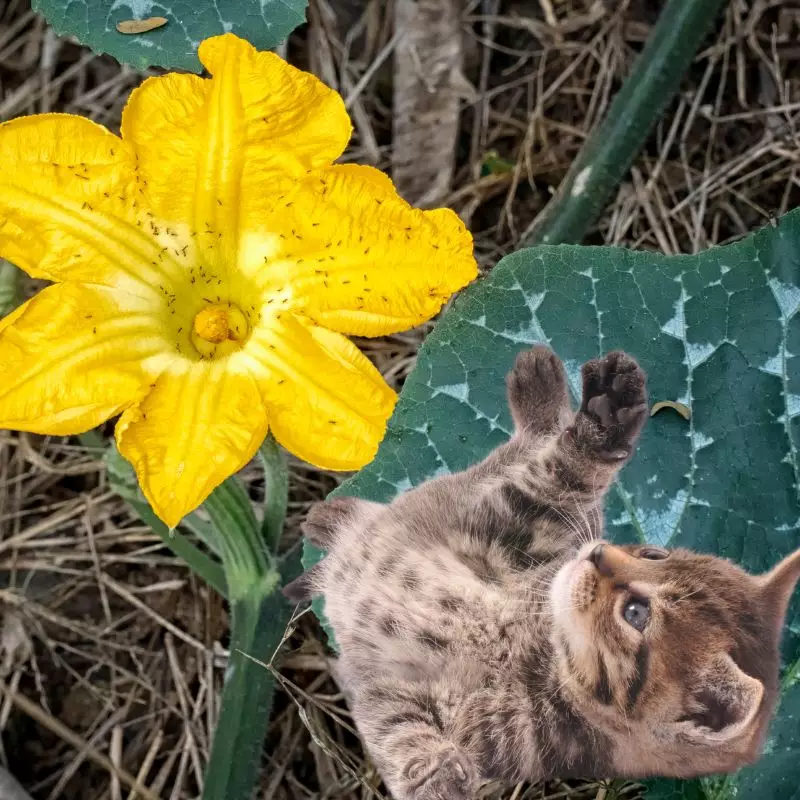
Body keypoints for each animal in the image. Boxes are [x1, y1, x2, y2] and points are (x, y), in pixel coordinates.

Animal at [288, 346, 800, 796]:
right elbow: (562, 473)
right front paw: (602, 423)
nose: (598, 553)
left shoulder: (430, 705)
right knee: (524, 446)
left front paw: (435, 776)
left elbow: (400, 728)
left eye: (636, 613)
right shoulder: (513, 525)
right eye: (654, 553)